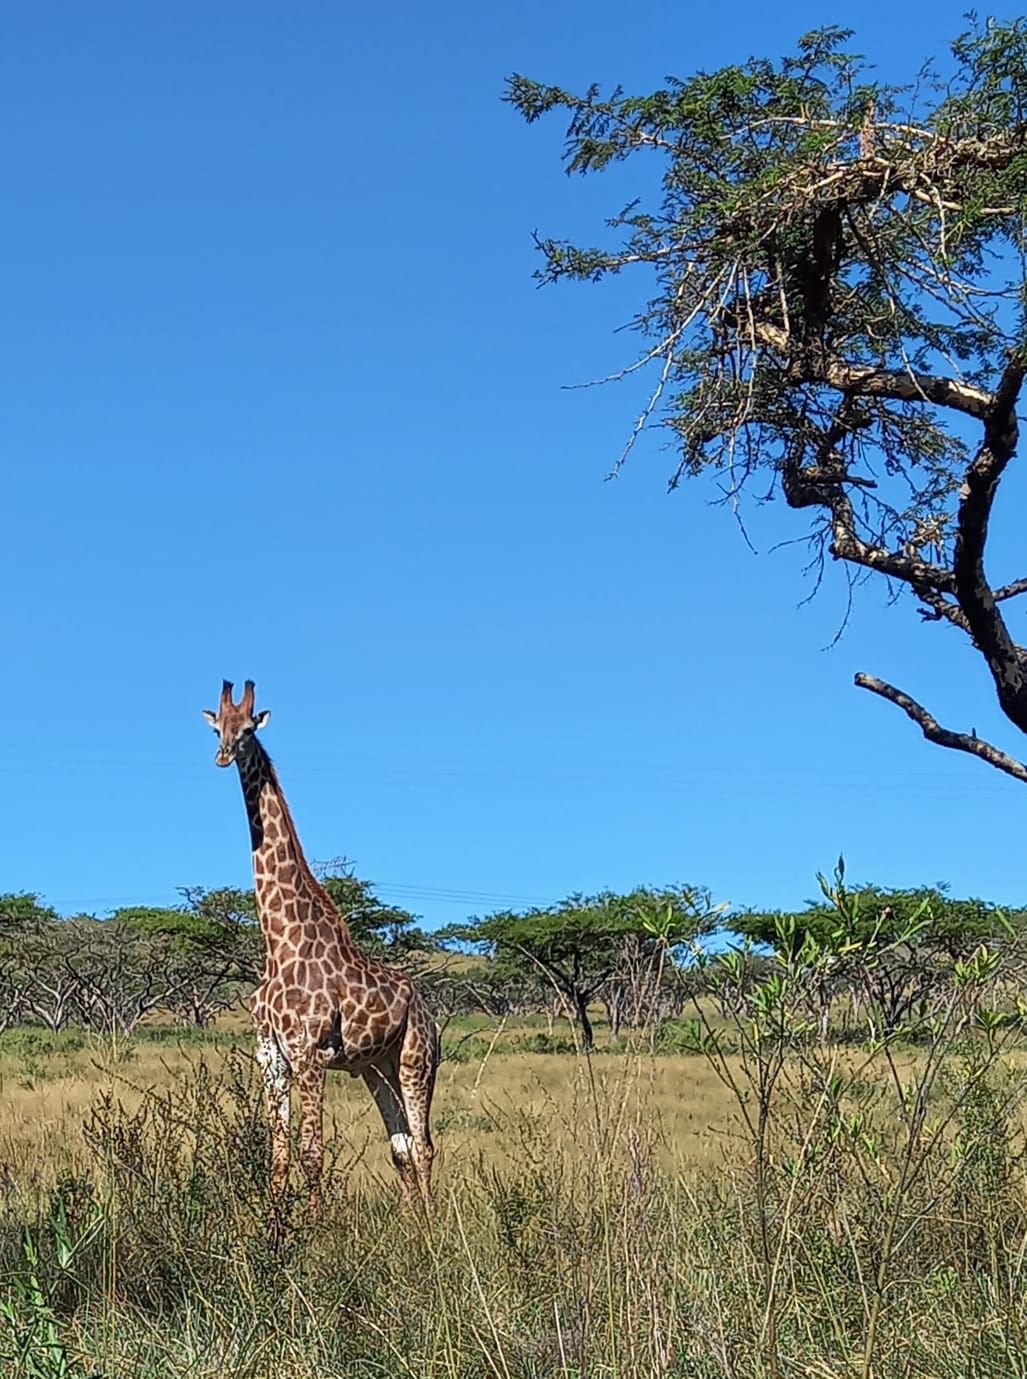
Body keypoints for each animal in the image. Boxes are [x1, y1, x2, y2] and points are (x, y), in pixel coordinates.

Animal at [202, 681, 438, 1219]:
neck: (279, 939)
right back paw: (412, 1223)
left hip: (417, 1059)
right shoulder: (271, 1054)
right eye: (216, 727)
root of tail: (428, 1010)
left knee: (424, 1144)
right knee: (401, 1146)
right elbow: (279, 1153)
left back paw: (435, 1226)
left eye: (247, 730)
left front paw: (313, 1229)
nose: (223, 756)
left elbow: (311, 1151)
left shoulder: (309, 1052)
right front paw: (275, 1229)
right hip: (377, 1067)